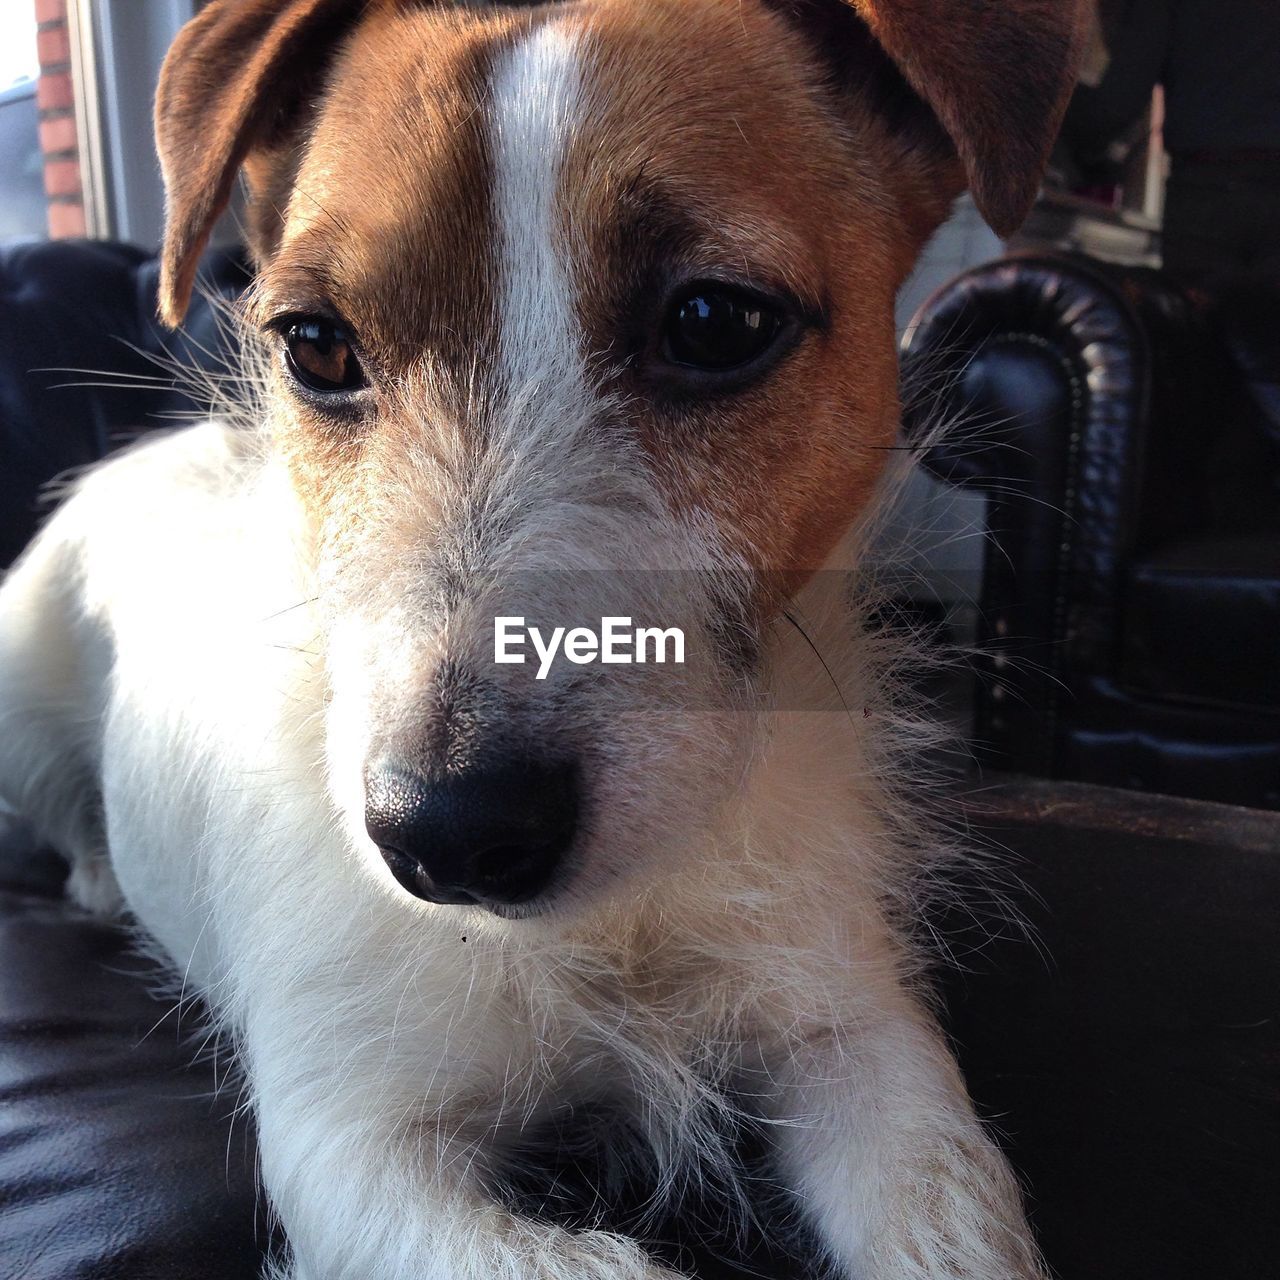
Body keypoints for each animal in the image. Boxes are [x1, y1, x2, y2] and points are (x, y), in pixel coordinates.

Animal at [0, 2, 1080, 1280]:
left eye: (714, 321)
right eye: (314, 344)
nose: (447, 833)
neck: (615, 927)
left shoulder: (854, 1033)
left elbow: (952, 1209)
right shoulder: (356, 1146)